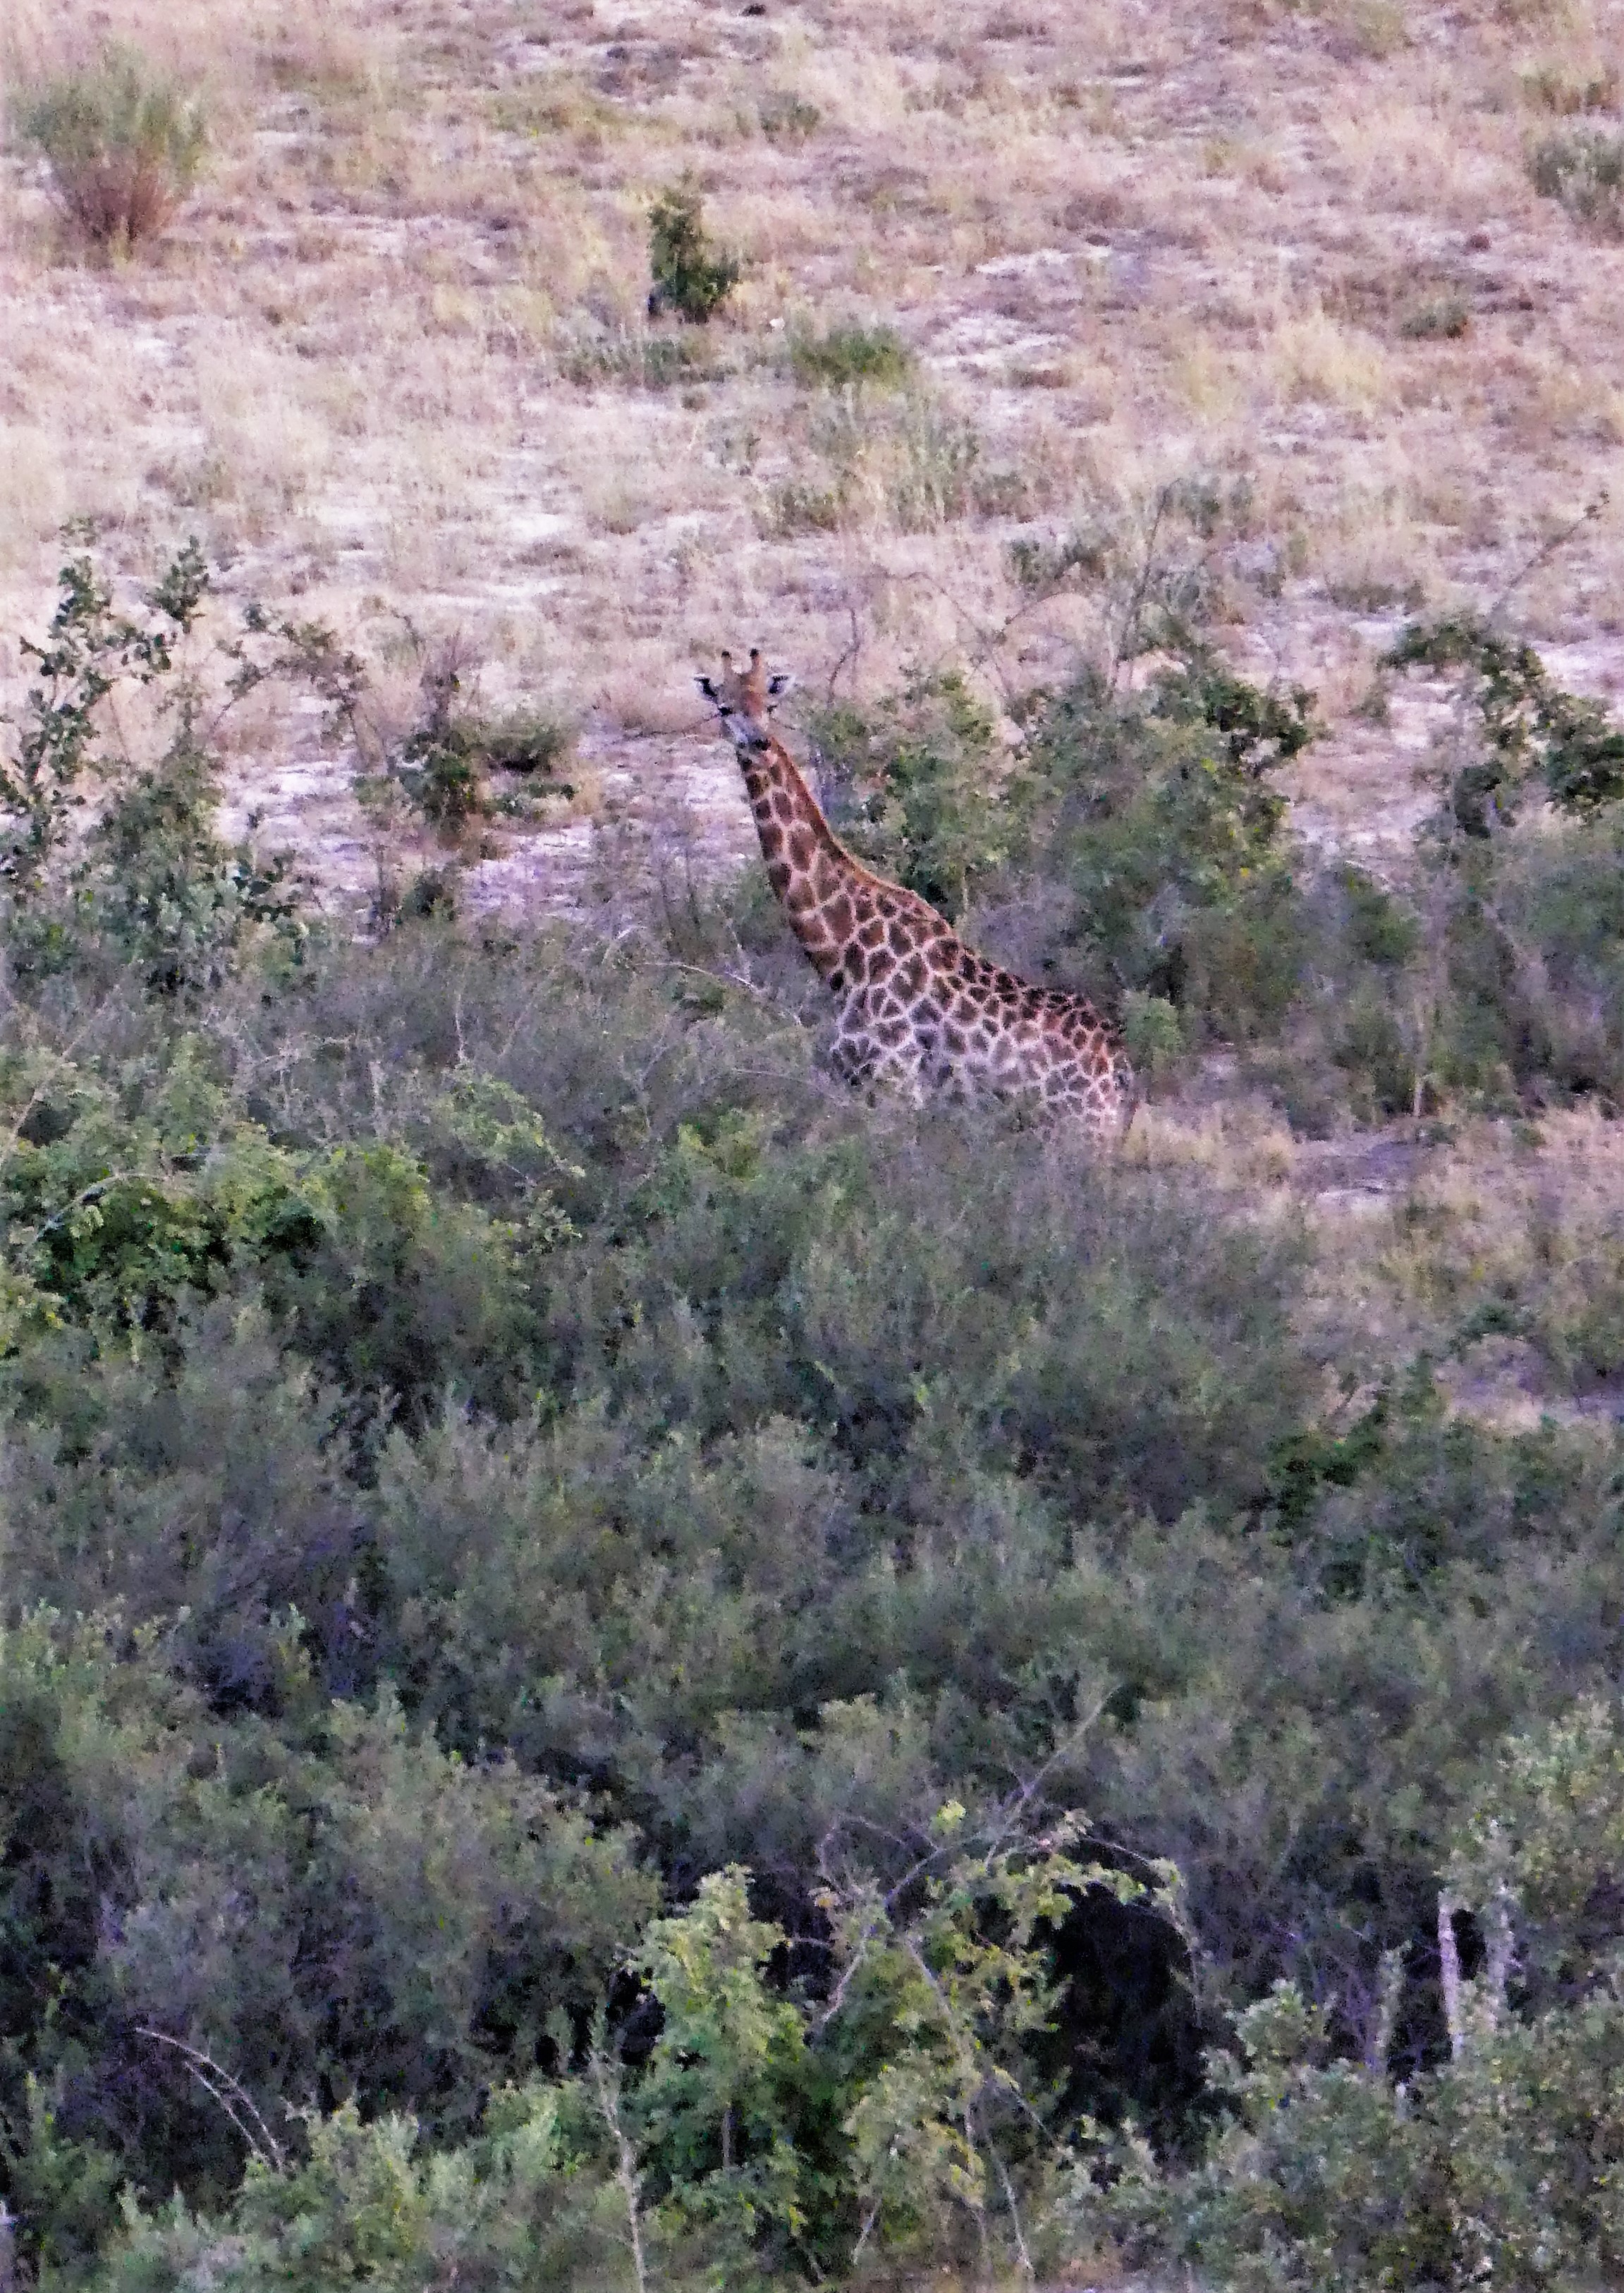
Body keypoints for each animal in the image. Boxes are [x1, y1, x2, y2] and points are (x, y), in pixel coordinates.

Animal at [697, 650, 1135, 1145]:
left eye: (769, 707)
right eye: (725, 708)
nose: (760, 743)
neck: (840, 951)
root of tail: (1122, 1069)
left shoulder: (896, 1080)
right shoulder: (861, 1081)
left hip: (1080, 1131)